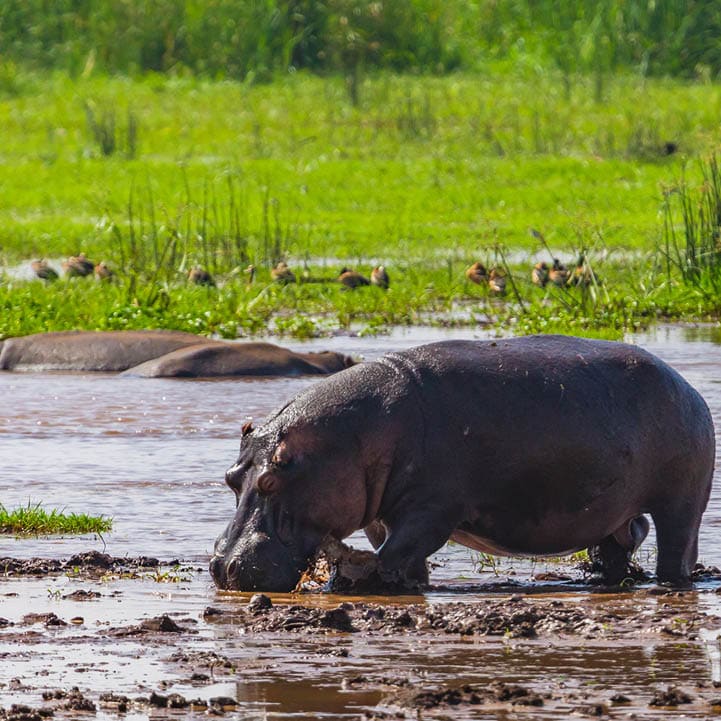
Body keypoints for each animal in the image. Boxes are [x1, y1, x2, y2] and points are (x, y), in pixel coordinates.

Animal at [210, 335, 715, 592]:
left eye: (273, 480)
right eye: (231, 479)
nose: (222, 566)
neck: (353, 438)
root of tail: (684, 384)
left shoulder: (433, 507)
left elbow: (400, 547)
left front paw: (362, 582)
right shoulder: (380, 512)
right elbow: (397, 547)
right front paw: (409, 583)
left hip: (683, 501)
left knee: (677, 546)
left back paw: (670, 583)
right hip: (613, 511)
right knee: (623, 540)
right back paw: (600, 577)